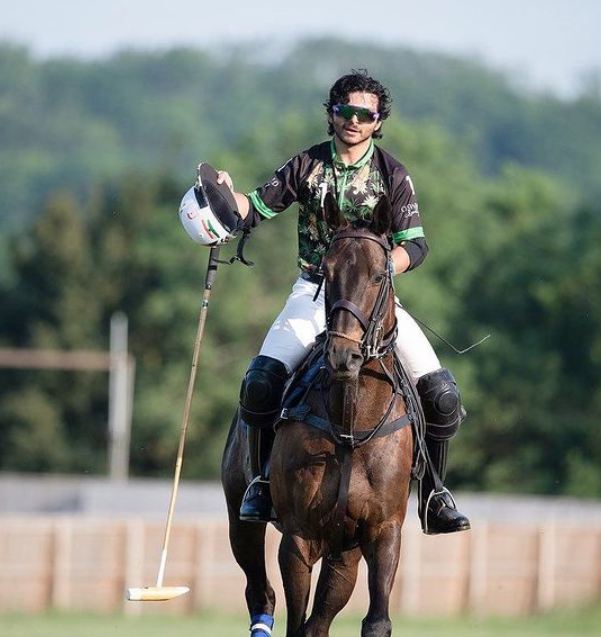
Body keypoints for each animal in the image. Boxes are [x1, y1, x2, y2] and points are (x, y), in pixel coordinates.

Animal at [223, 194, 414, 636]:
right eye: (326, 272)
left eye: (379, 275)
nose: (344, 355)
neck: (350, 427)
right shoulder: (298, 538)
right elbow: (295, 620)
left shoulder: (383, 531)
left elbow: (376, 620)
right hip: (240, 519)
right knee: (260, 592)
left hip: (344, 551)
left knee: (320, 619)